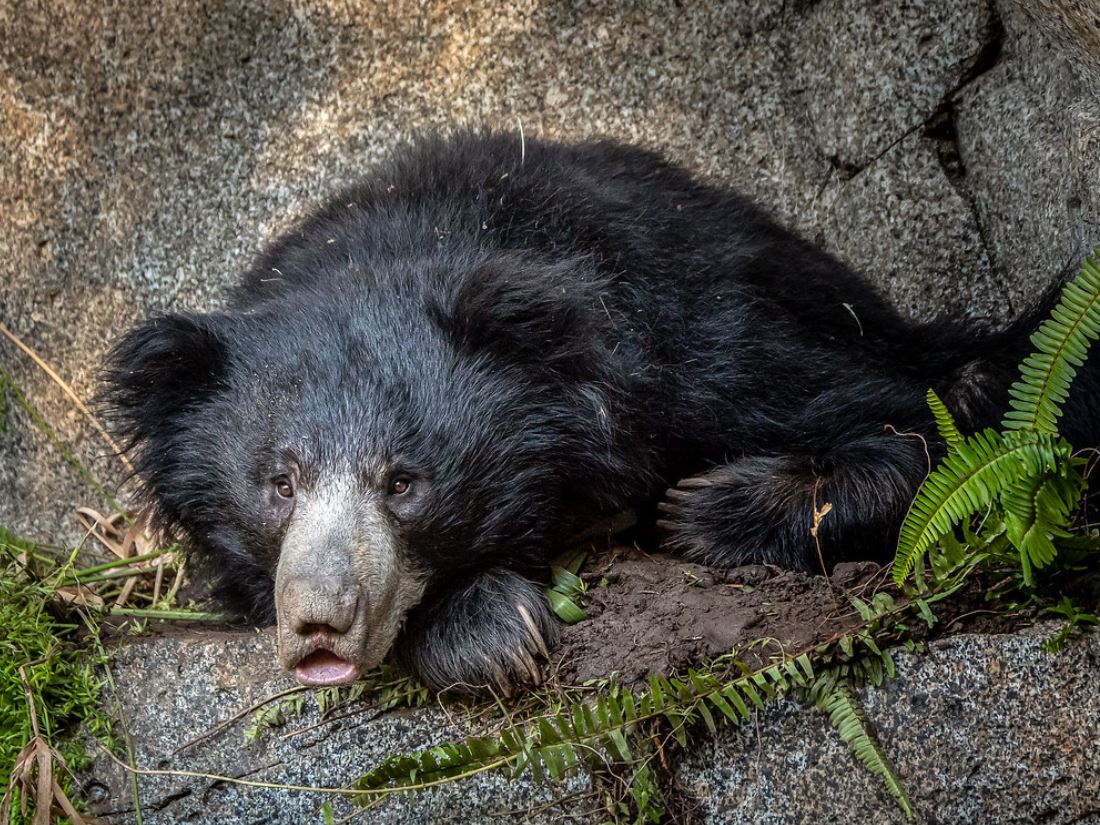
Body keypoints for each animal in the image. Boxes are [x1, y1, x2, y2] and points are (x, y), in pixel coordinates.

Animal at [101, 129, 1100, 693]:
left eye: (404, 482)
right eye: (278, 483)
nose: (318, 622)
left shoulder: (679, 329)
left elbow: (907, 424)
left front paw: (704, 509)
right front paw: (489, 630)